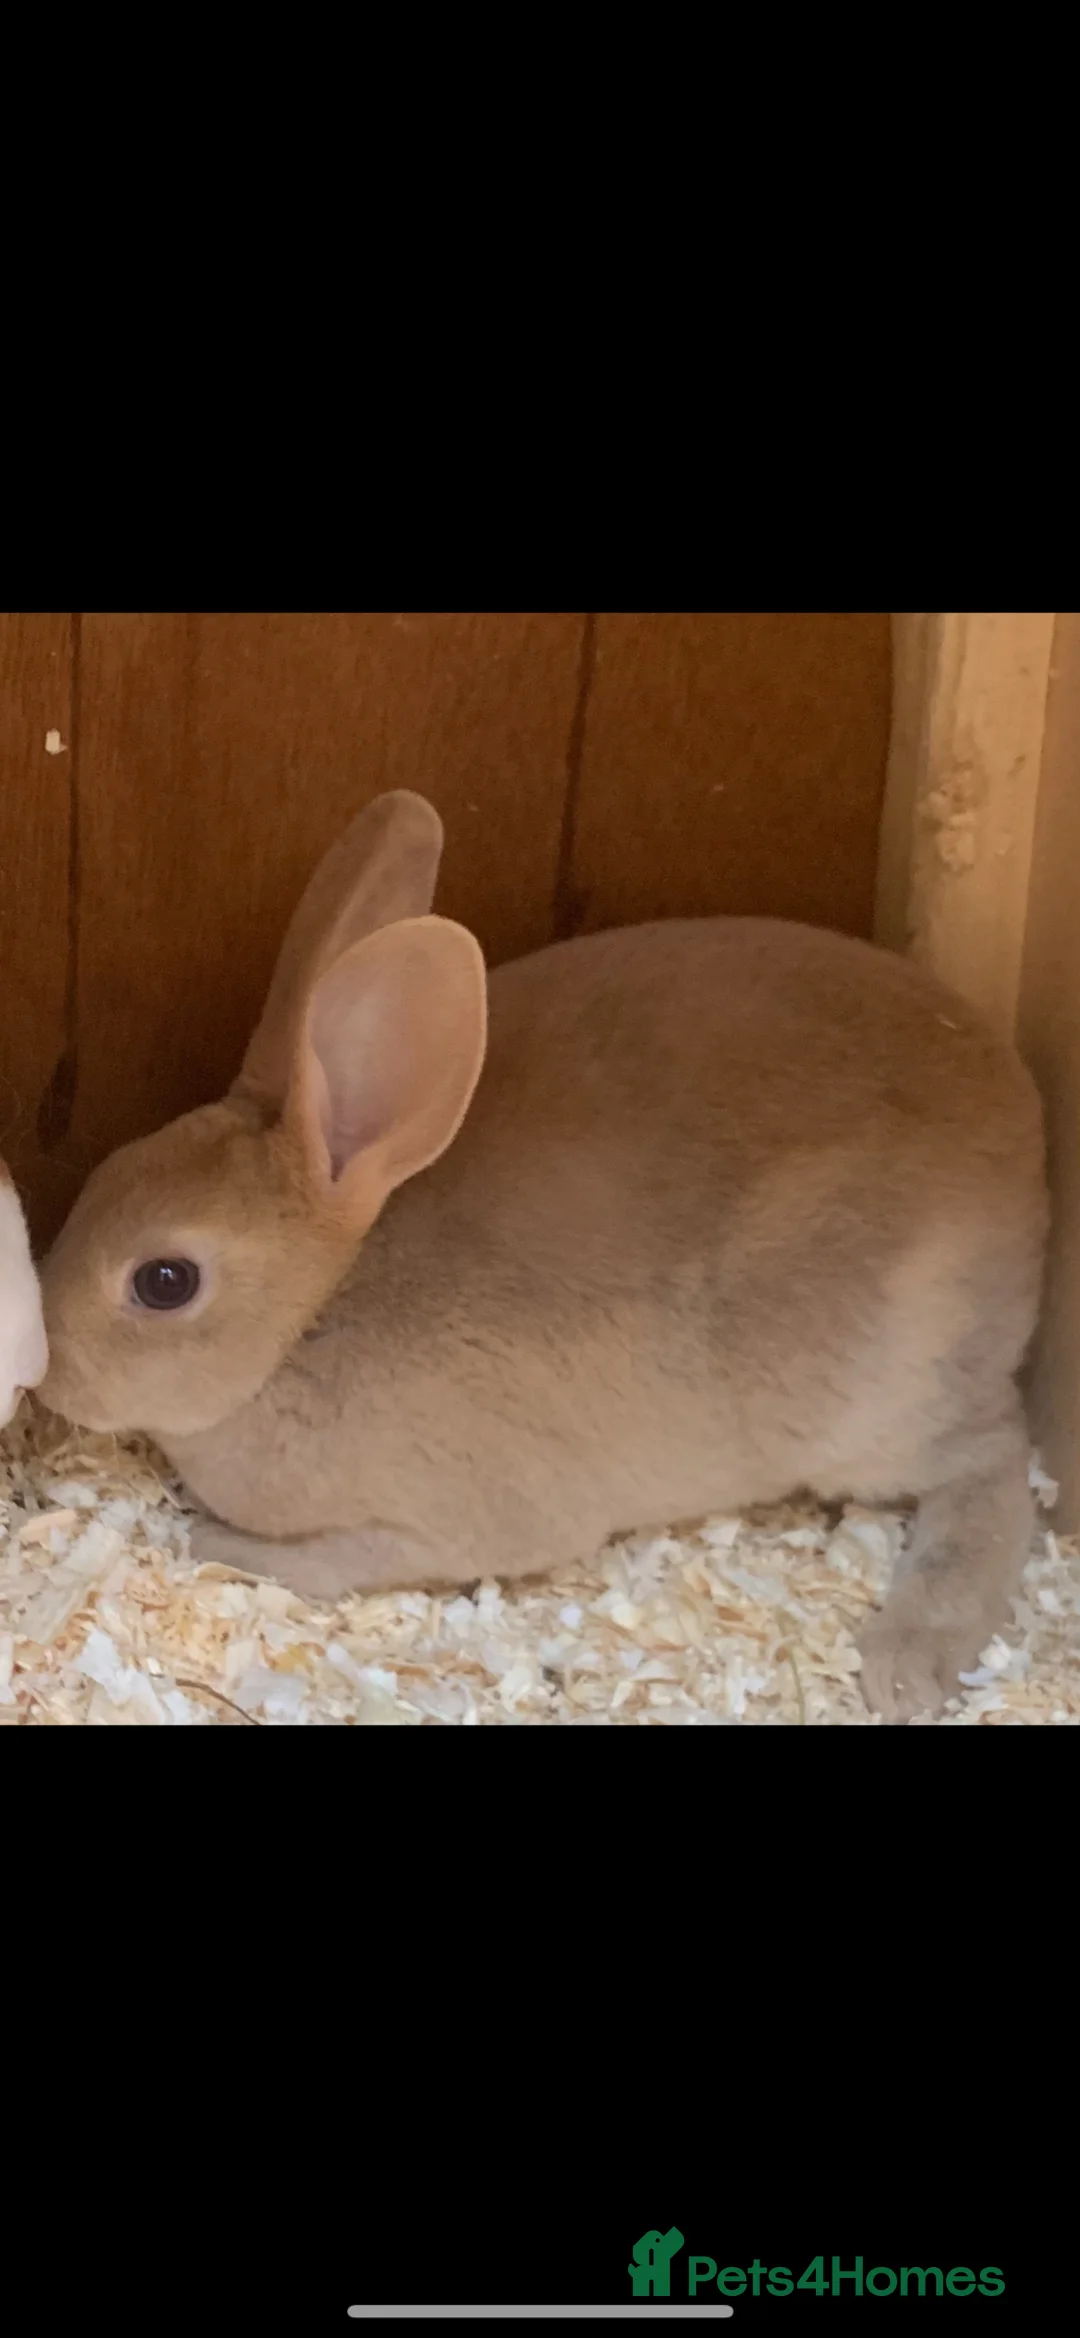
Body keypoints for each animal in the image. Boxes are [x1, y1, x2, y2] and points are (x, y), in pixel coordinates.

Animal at [37, 789, 1048, 1721]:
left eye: (164, 1282)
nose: (48, 1370)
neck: (309, 1320)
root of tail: (1027, 1139)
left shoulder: (450, 1525)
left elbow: (334, 1561)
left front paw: (213, 1546)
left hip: (874, 1397)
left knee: (994, 1457)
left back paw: (909, 1661)